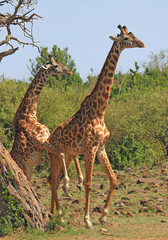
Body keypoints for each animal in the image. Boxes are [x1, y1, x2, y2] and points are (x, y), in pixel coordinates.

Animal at [10, 54, 75, 182]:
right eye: (55, 65)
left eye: (59, 62)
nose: (69, 71)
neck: (30, 114)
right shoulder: (41, 142)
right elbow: (61, 153)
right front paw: (66, 181)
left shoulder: (47, 138)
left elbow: (64, 152)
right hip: (24, 169)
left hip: (30, 170)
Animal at [47, 24, 144, 229]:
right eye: (126, 38)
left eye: (133, 34)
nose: (142, 43)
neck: (100, 111)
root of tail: (49, 137)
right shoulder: (90, 148)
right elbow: (89, 184)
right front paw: (88, 220)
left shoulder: (101, 147)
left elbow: (113, 179)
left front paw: (104, 216)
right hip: (56, 156)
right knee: (52, 180)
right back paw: (56, 214)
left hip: (68, 155)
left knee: (55, 180)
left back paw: (54, 213)